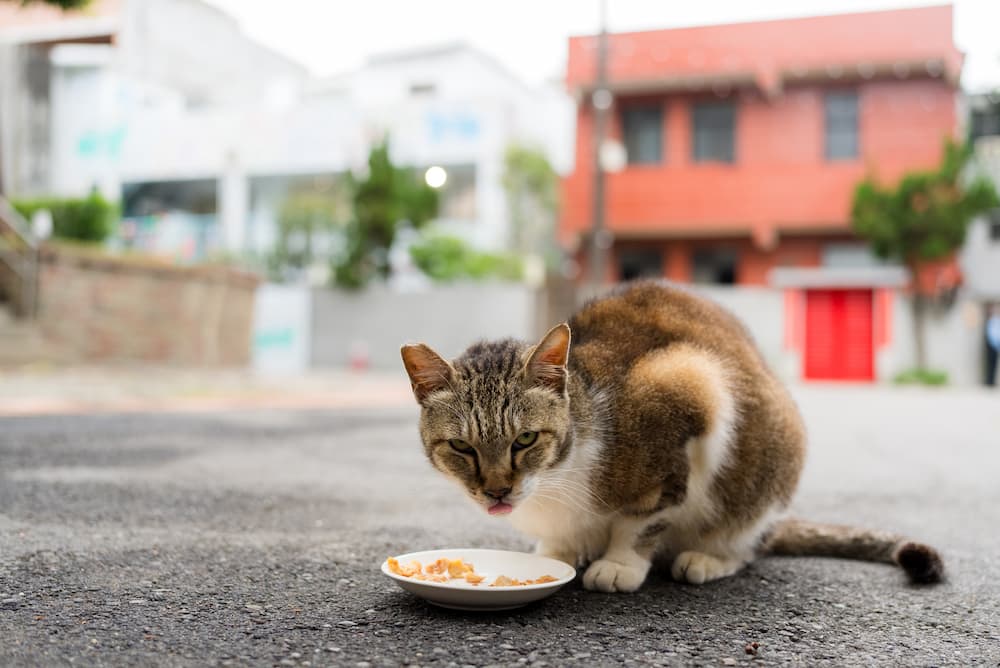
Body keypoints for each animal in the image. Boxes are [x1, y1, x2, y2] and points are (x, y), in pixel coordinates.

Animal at [400, 280, 944, 592]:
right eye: (462, 447)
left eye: (525, 441)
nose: (497, 491)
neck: (557, 485)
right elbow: (562, 541)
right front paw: (558, 553)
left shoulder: (687, 387)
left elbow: (642, 519)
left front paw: (620, 564)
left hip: (766, 464)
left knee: (746, 541)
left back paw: (709, 557)